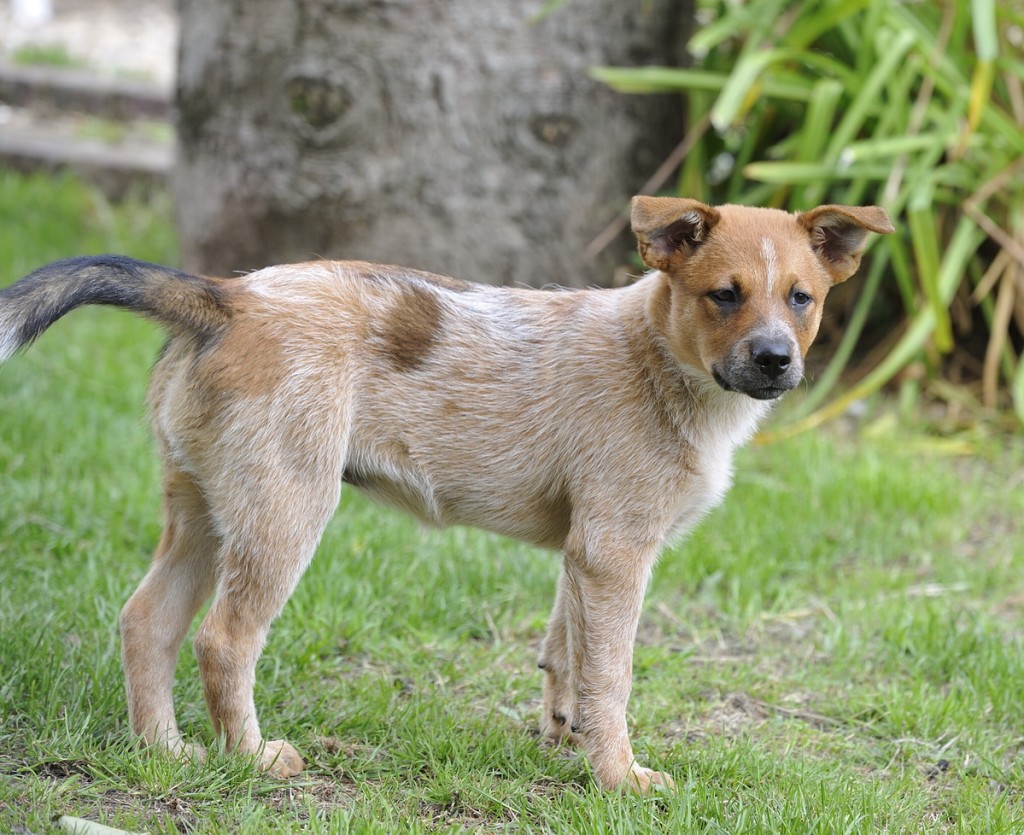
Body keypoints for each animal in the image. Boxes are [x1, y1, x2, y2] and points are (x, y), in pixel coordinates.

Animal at [0, 195, 892, 790]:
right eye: (724, 294)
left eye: (802, 298)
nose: (777, 360)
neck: (661, 360)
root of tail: (225, 295)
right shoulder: (617, 551)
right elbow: (611, 676)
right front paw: (620, 777)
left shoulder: (584, 553)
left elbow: (565, 653)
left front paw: (562, 739)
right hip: (285, 510)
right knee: (223, 639)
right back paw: (253, 758)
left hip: (205, 510)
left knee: (146, 619)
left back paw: (163, 751)